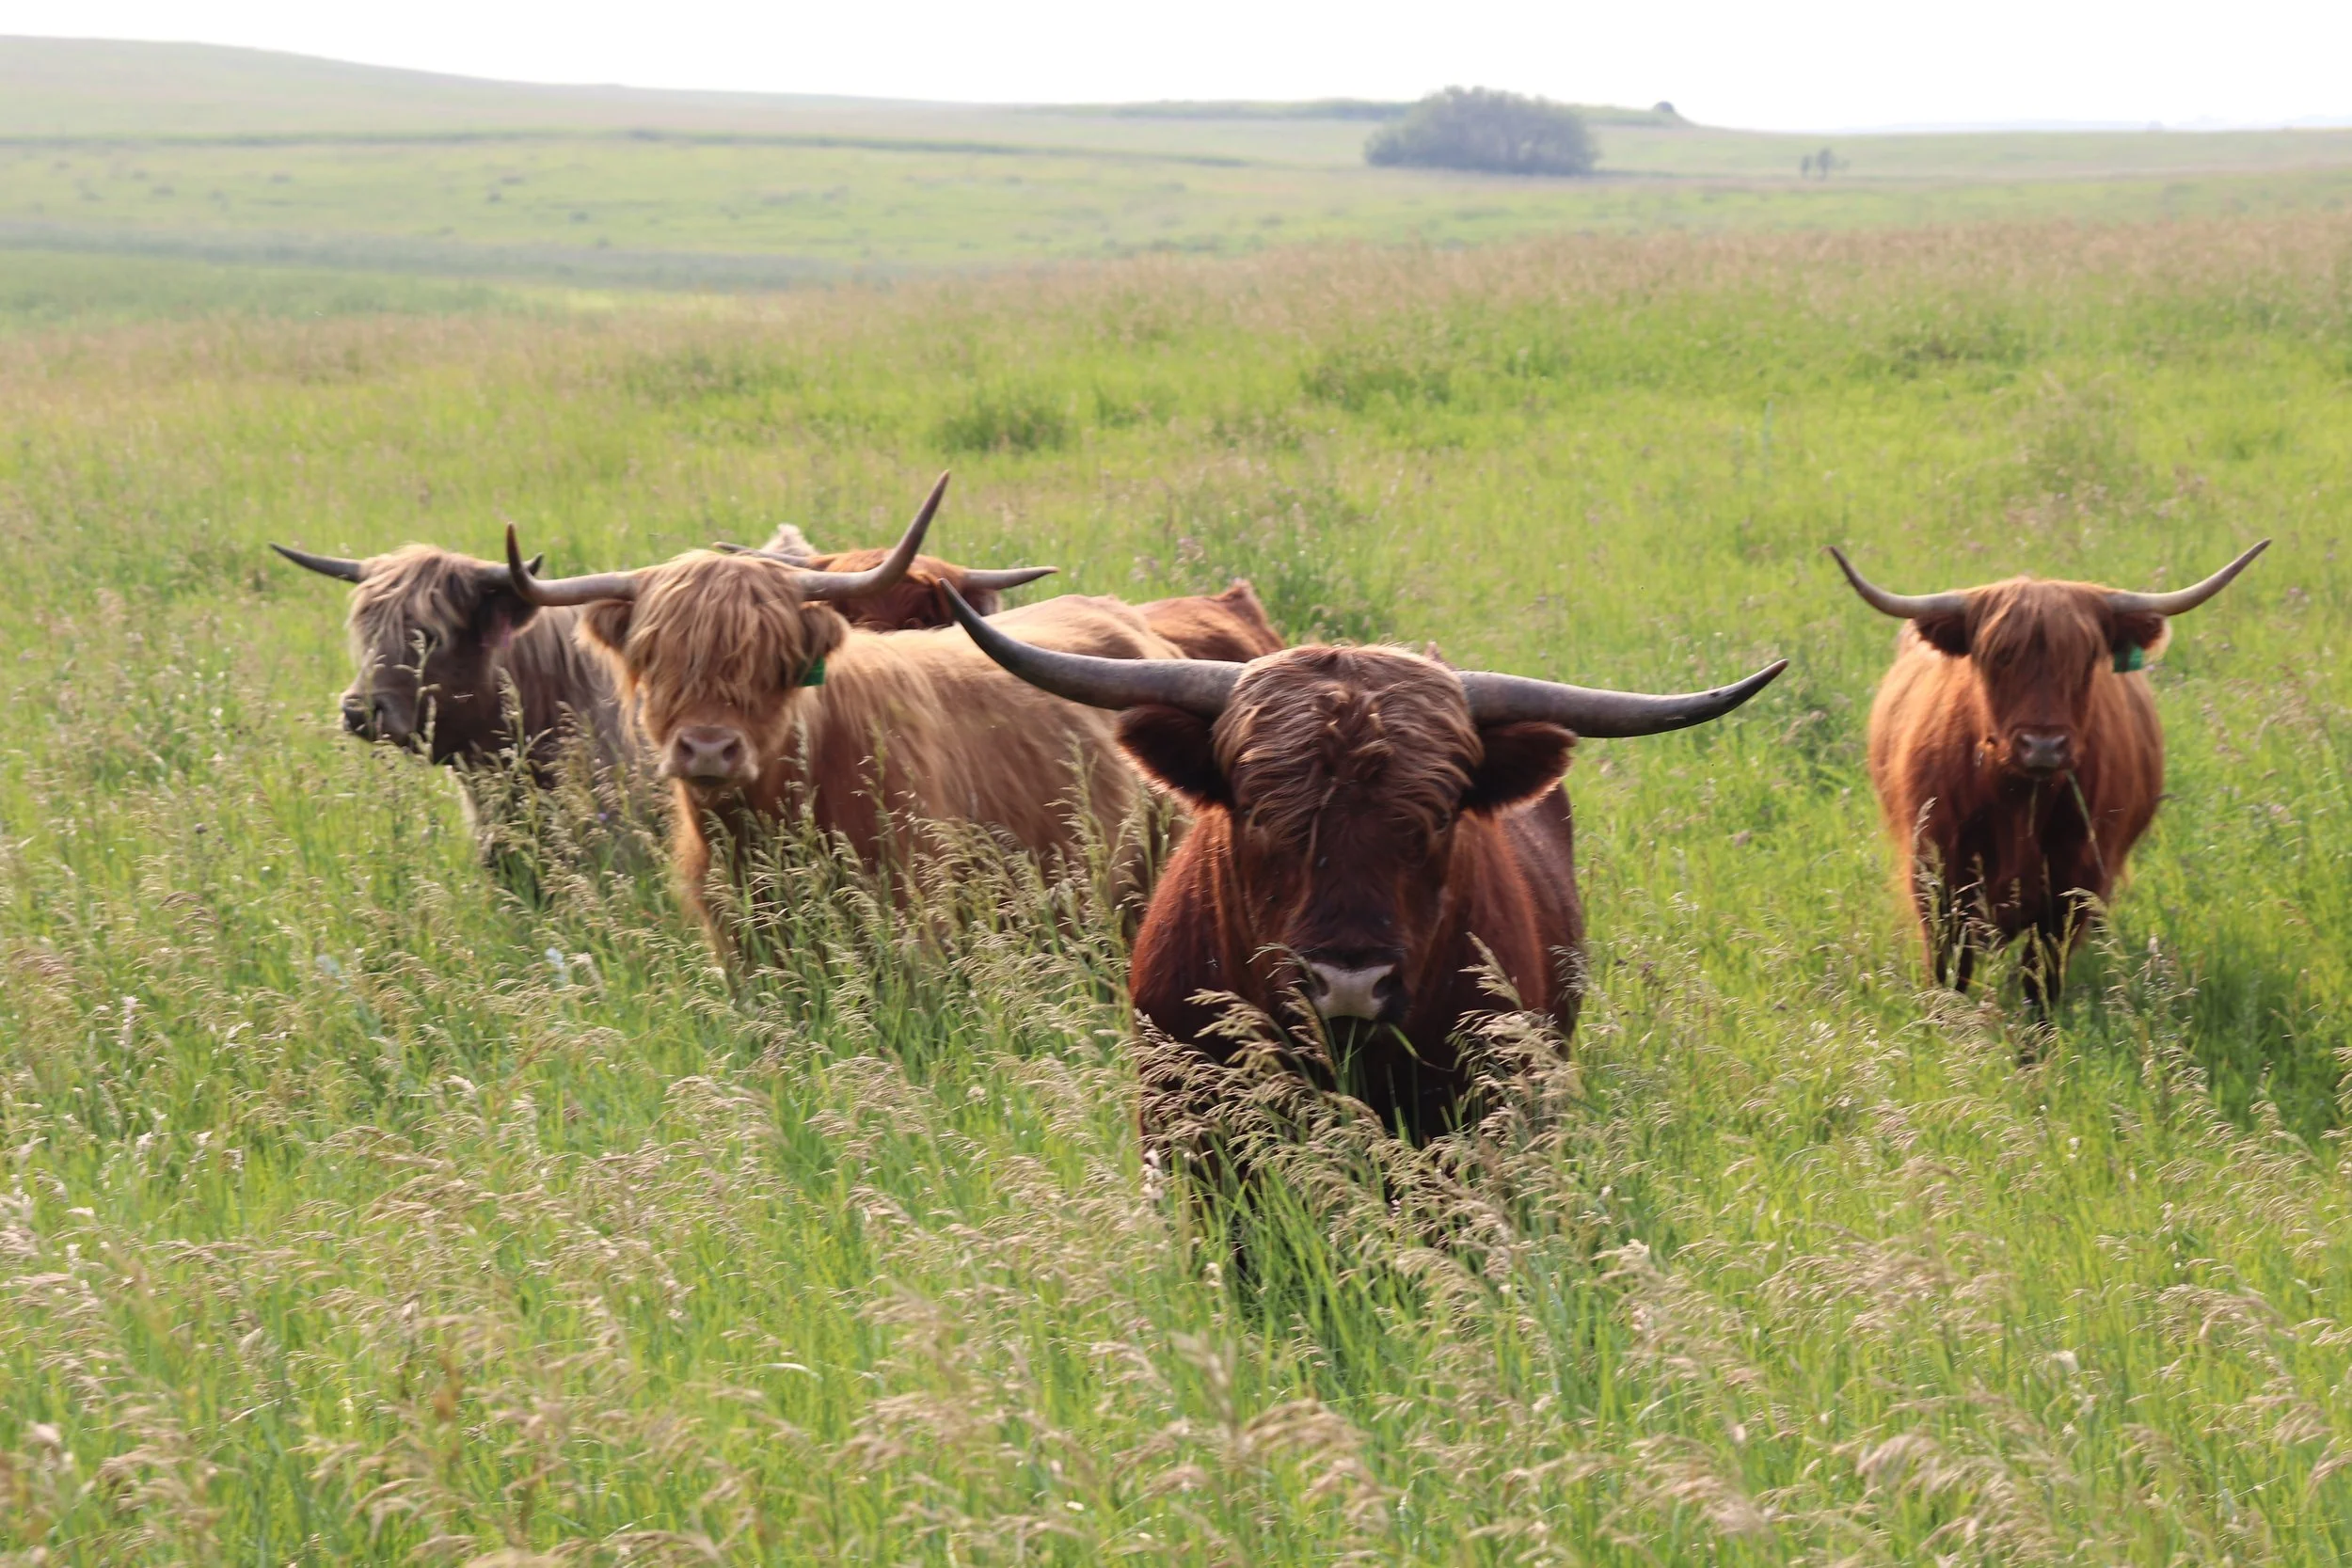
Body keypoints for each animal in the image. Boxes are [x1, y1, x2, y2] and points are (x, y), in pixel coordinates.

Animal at [1831, 540, 2267, 1009]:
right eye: (1996, 657)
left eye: (2087, 658)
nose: (2043, 746)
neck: (2018, 803)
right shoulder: (1937, 876)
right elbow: (1951, 971)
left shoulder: (2074, 885)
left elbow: (2041, 979)